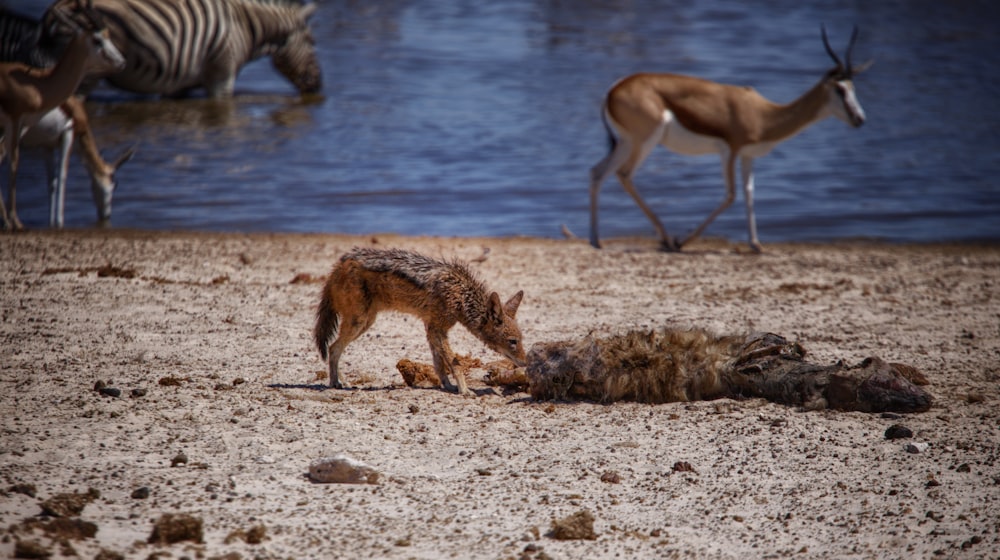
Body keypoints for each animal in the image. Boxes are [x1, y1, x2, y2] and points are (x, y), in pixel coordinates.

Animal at [0, 1, 124, 231]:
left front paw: (50, 223)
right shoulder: (66, 132)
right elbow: (61, 176)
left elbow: (51, 182)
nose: (121, 62)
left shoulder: (46, 144)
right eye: (97, 40)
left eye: (110, 35)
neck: (40, 86)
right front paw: (57, 222)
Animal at [44, 0, 320, 97]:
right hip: (85, 74)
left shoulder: (179, 82)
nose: (319, 86)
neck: (246, 25)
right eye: (312, 42)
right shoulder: (222, 75)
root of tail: (56, 10)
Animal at [588, 27, 872, 252]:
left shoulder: (747, 156)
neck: (762, 114)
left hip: (625, 143)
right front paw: (682, 241)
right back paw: (667, 239)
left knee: (597, 172)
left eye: (853, 88)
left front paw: (756, 245)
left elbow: (749, 193)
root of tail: (614, 88)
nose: (860, 119)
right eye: (839, 89)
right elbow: (730, 195)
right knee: (624, 175)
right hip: (645, 141)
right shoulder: (730, 151)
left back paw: (596, 240)